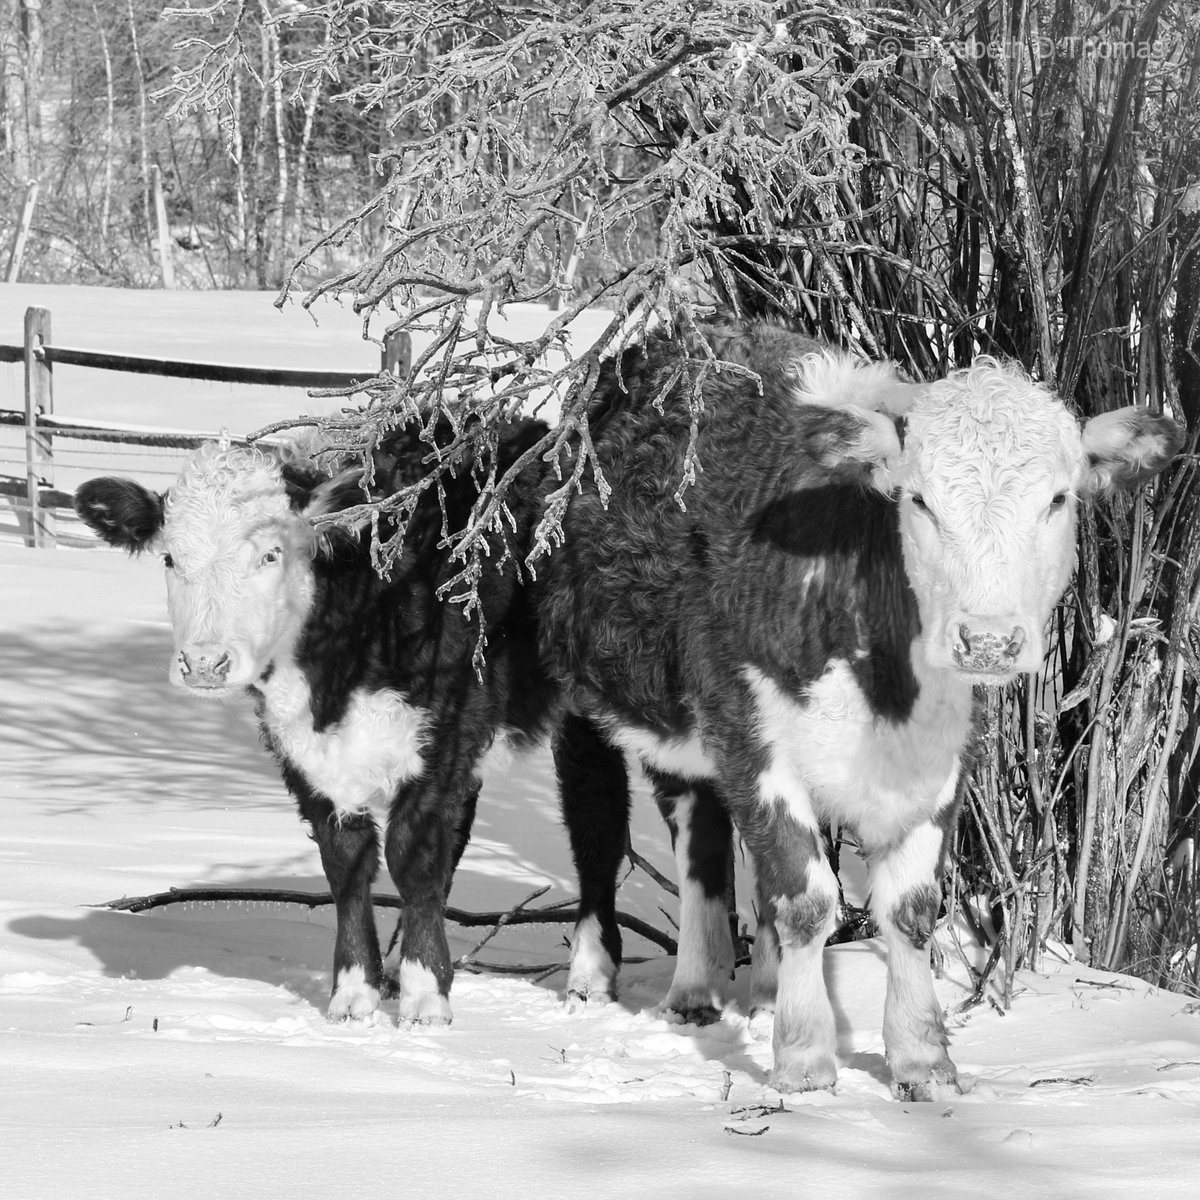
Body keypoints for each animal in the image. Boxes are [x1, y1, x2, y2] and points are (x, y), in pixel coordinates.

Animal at [74, 416, 559, 1026]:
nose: (205, 662)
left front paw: (426, 997)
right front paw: (355, 993)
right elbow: (346, 862)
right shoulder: (302, 753)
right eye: (169, 560)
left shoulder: (443, 737)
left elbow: (414, 859)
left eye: (271, 554)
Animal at [539, 317, 1183, 1098]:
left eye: (1058, 499)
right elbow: (807, 898)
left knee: (700, 833)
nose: (987, 639)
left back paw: (718, 989)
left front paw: (923, 1062)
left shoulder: (939, 756)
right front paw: (805, 1061)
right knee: (600, 829)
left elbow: (908, 908)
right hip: (579, 695)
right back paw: (595, 976)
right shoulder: (754, 738)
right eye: (919, 501)